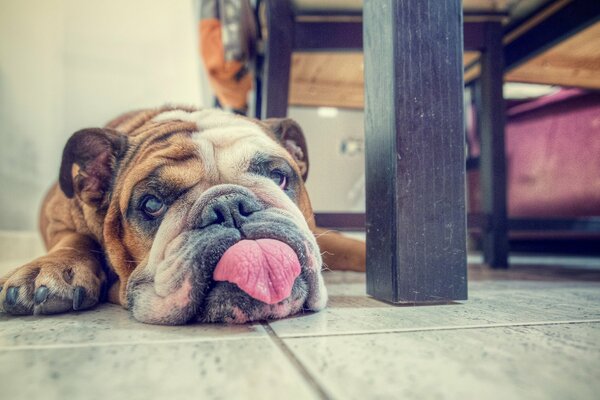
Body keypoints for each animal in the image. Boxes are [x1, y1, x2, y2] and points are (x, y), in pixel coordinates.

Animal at [0, 106, 366, 324]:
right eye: (151, 204)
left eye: (279, 177)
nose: (229, 206)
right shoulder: (58, 215)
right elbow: (75, 238)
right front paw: (50, 269)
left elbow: (354, 246)